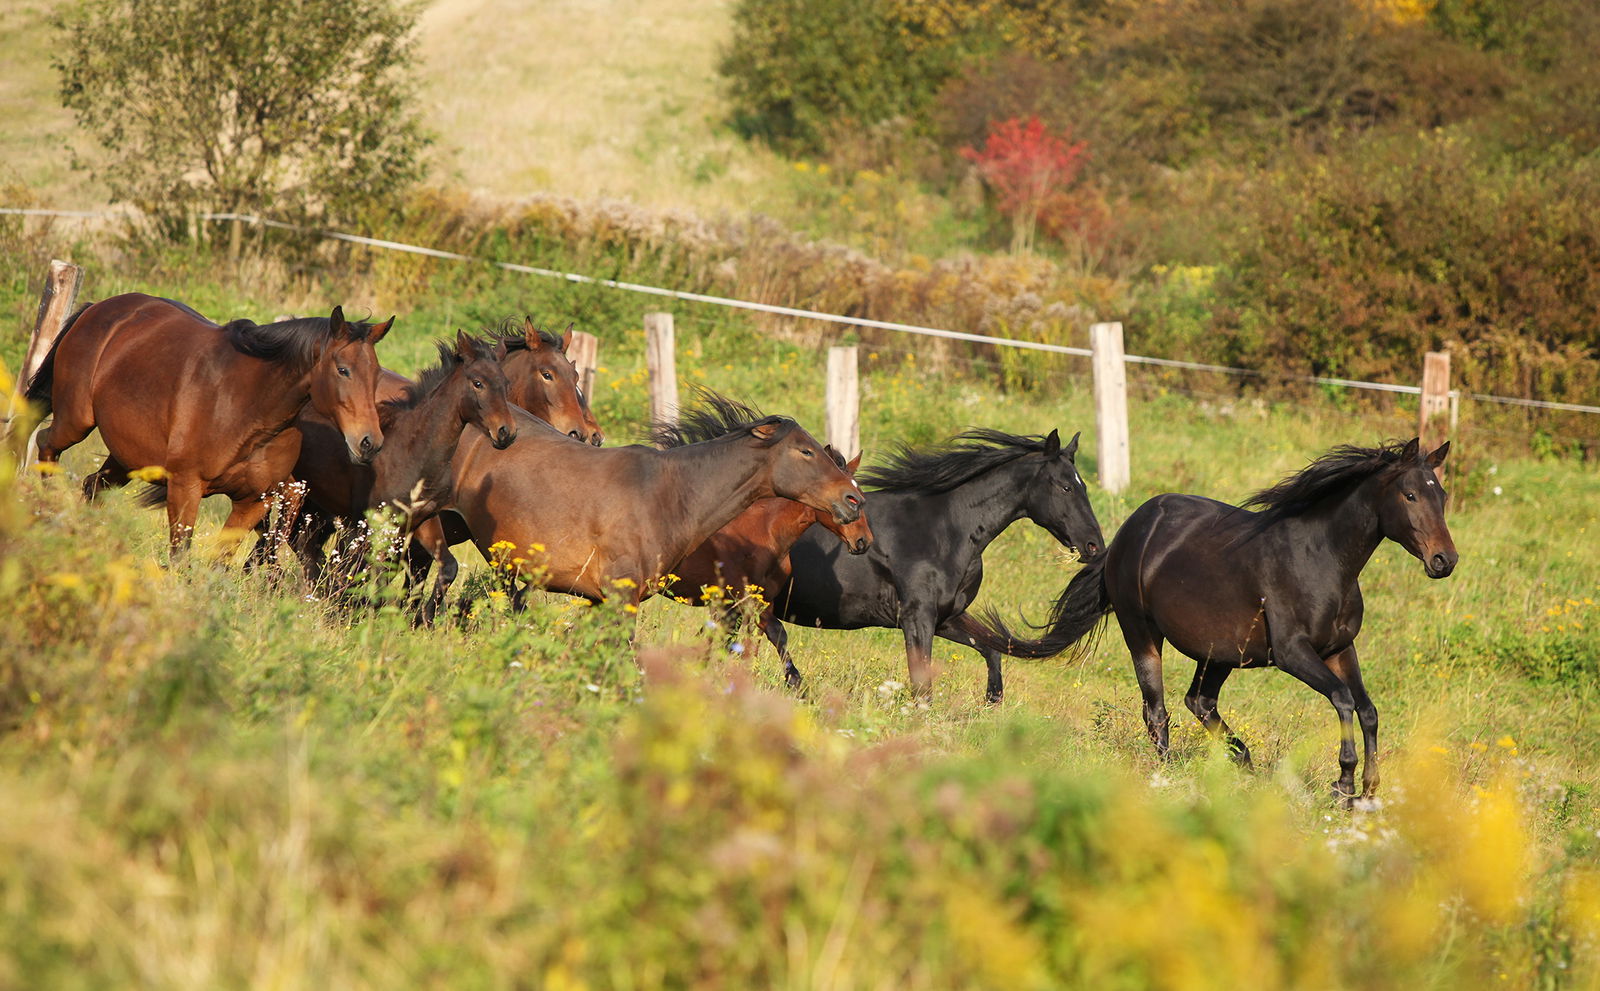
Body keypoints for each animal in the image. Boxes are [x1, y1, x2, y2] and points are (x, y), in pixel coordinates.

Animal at [24, 292, 390, 555]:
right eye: (343, 370)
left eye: (375, 374)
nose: (369, 442)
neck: (248, 409)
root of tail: (99, 308)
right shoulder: (185, 487)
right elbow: (181, 556)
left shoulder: (253, 501)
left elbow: (220, 561)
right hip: (76, 420)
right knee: (46, 444)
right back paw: (46, 514)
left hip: (127, 457)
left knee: (92, 485)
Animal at [267, 332, 519, 586]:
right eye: (478, 383)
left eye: (506, 384)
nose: (506, 432)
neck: (412, 453)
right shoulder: (377, 525)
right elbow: (373, 575)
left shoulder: (423, 519)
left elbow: (447, 566)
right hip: (291, 494)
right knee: (274, 542)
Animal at [652, 394, 873, 652]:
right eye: (852, 498)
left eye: (859, 495)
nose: (864, 540)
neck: (764, 531)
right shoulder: (736, 600)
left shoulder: (761, 601)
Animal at [771, 428, 1103, 700]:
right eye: (1065, 487)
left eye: (1084, 486)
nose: (1094, 546)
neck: (945, 529)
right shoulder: (917, 618)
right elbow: (923, 688)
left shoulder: (946, 617)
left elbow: (991, 651)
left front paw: (992, 699)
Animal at [972, 438, 1456, 804]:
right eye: (1410, 495)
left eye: (1442, 496)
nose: (1444, 560)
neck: (1322, 559)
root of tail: (1129, 529)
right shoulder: (1293, 654)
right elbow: (1342, 700)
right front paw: (1343, 783)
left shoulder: (1339, 648)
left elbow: (1368, 709)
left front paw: (1370, 789)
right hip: (1142, 633)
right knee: (1157, 710)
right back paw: (1170, 774)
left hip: (1220, 652)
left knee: (1199, 702)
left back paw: (1242, 760)